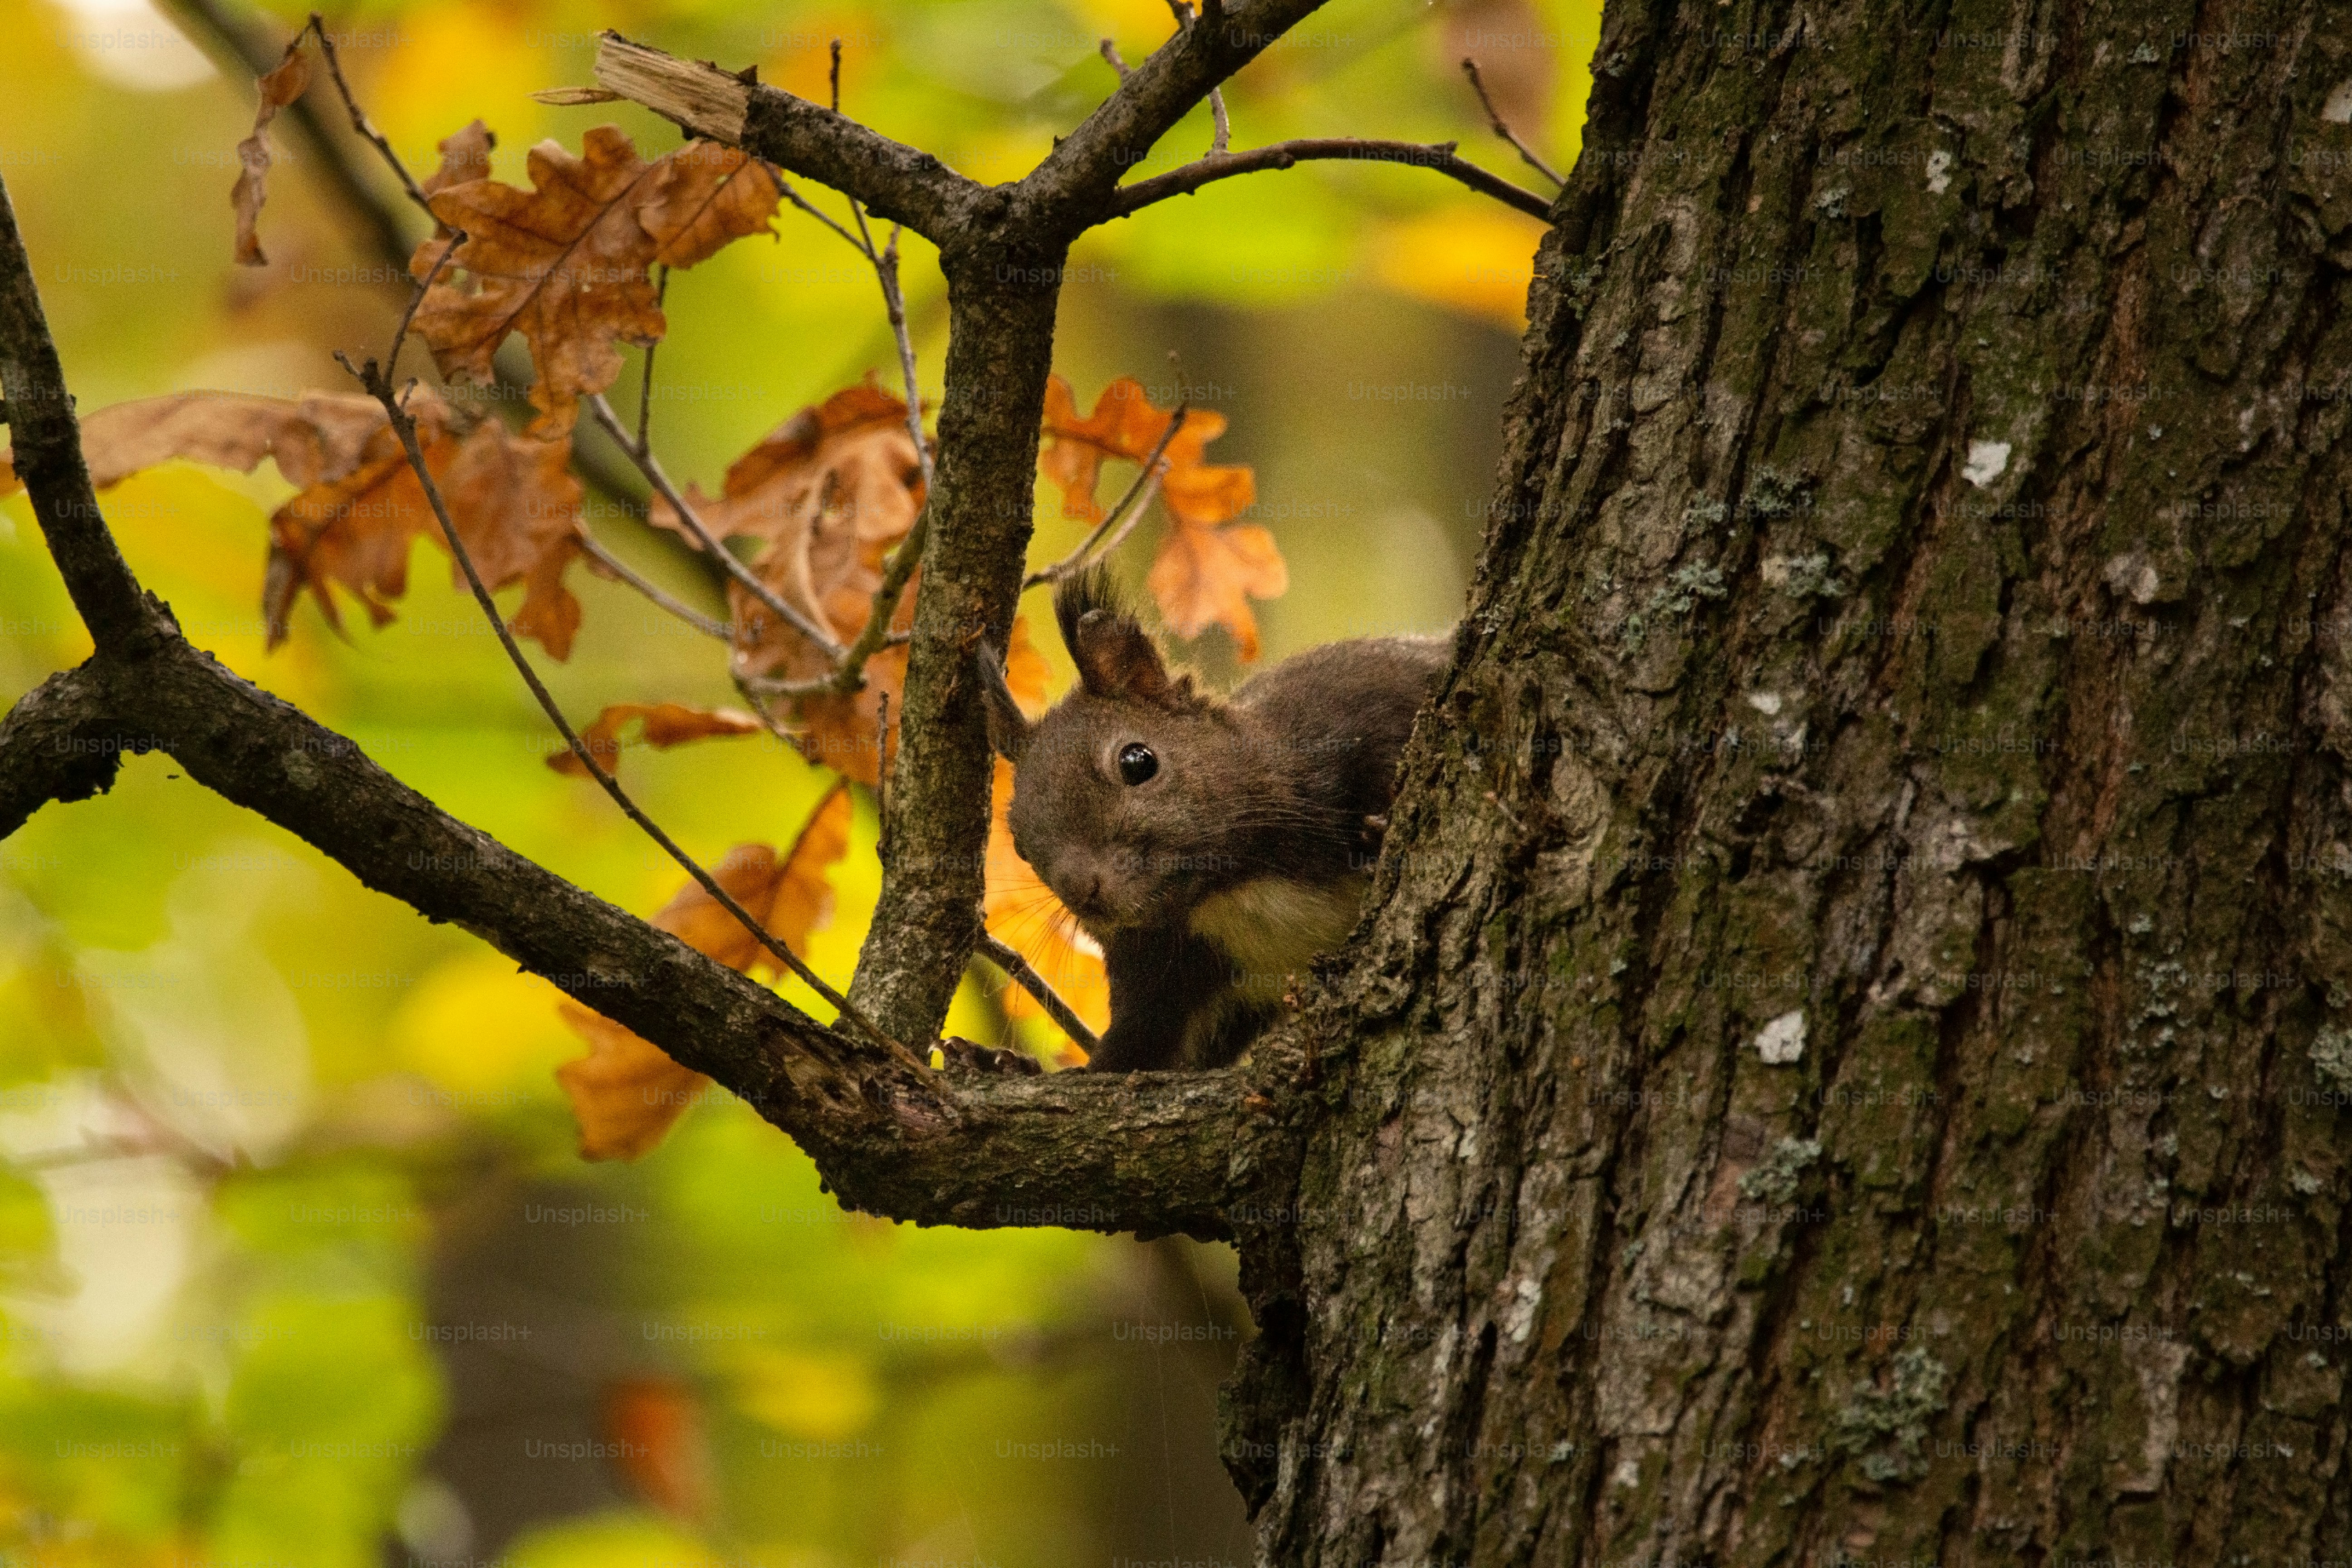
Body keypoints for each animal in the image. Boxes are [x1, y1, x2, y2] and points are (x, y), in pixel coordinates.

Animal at [978, 569, 1448, 1071]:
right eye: (1019, 844)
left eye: (1137, 762)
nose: (1082, 891)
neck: (1227, 890)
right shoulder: (1170, 975)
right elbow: (1140, 1051)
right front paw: (1001, 1063)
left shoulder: (1359, 705)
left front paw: (1380, 830)